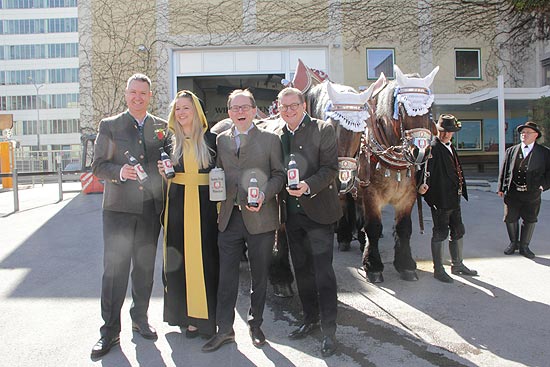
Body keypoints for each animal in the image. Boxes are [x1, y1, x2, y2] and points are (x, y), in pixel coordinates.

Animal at [360, 65, 442, 284]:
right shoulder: (370, 194)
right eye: (403, 108)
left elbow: (404, 228)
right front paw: (373, 266)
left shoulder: (408, 196)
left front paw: (405, 264)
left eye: (430, 109)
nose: (419, 151)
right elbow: (374, 227)